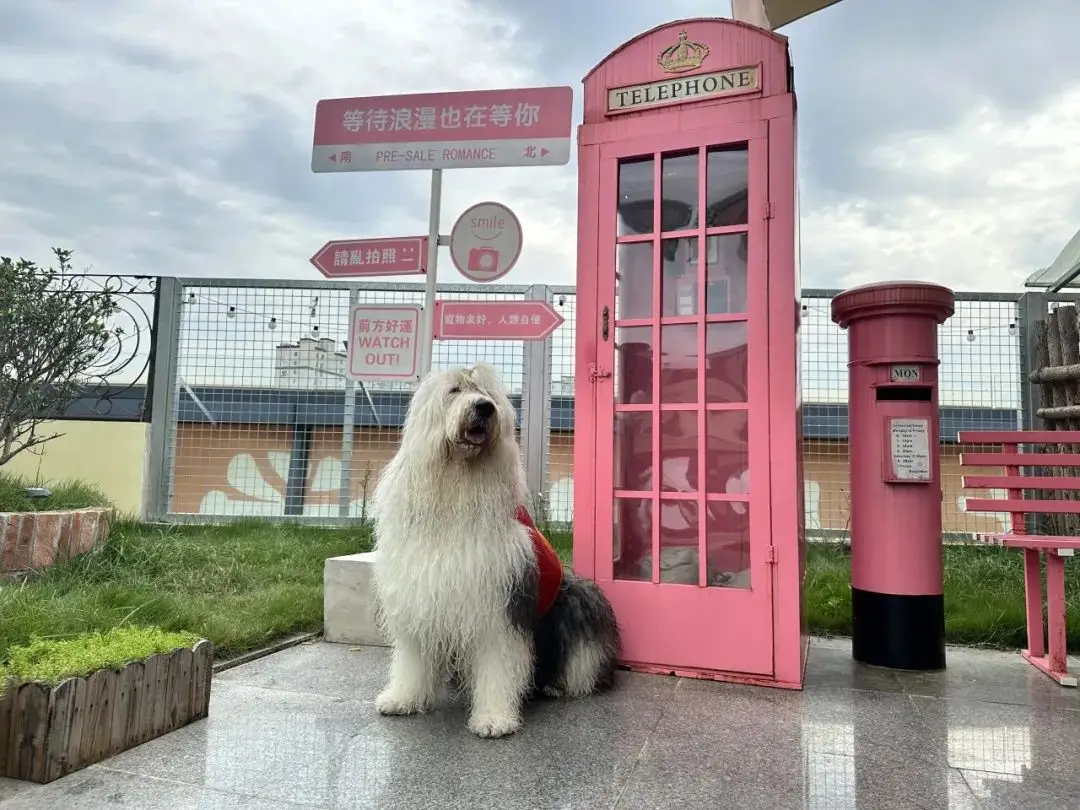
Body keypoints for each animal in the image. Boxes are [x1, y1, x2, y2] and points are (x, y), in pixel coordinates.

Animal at [371, 365, 622, 738]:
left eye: (488, 394)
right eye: (454, 390)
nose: (484, 408)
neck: (458, 489)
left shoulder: (499, 605)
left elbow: (498, 663)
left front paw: (493, 719)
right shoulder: (418, 594)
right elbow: (413, 657)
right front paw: (403, 698)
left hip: (577, 599)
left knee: (580, 659)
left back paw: (558, 686)